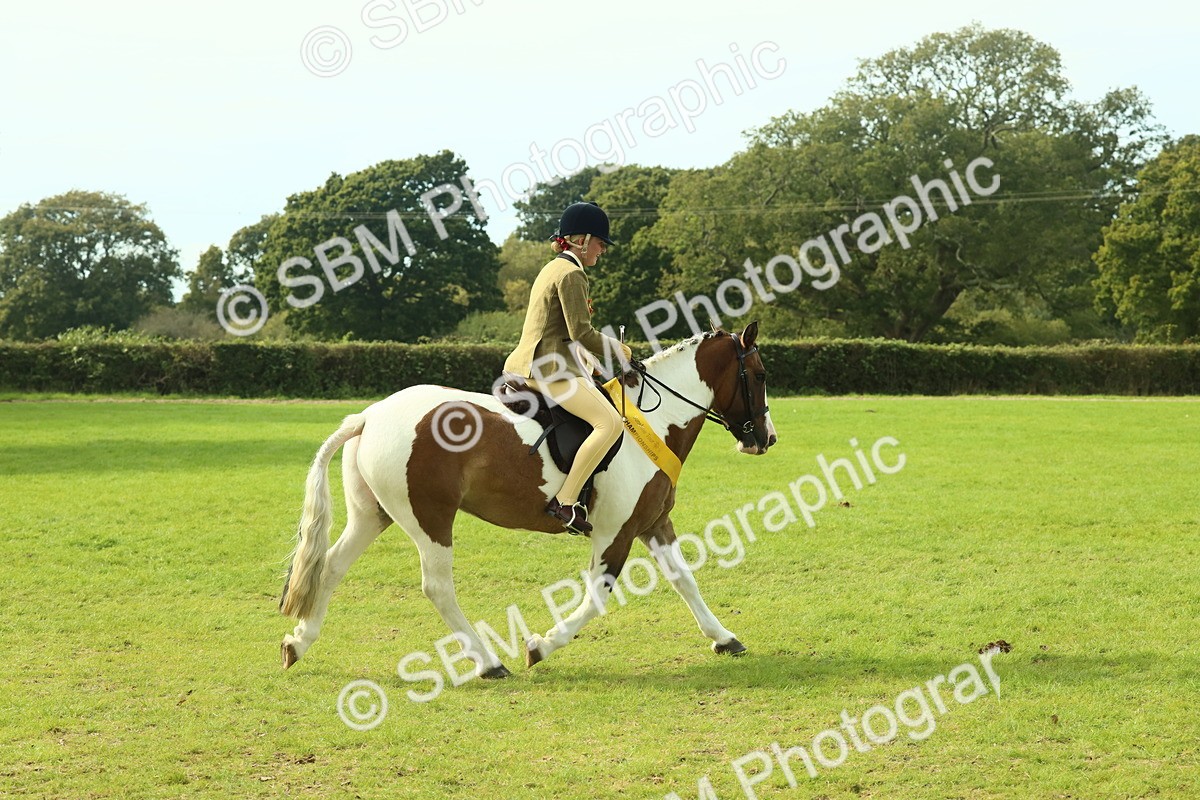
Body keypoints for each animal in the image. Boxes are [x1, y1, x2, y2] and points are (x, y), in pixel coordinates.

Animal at [278, 321, 777, 677]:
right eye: (759, 375)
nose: (766, 439)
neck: (654, 421)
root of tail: (369, 415)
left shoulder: (653, 523)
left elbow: (684, 579)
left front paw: (724, 638)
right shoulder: (615, 532)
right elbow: (597, 597)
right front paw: (541, 646)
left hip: (373, 515)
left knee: (331, 566)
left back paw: (298, 642)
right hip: (430, 518)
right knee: (437, 587)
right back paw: (488, 663)